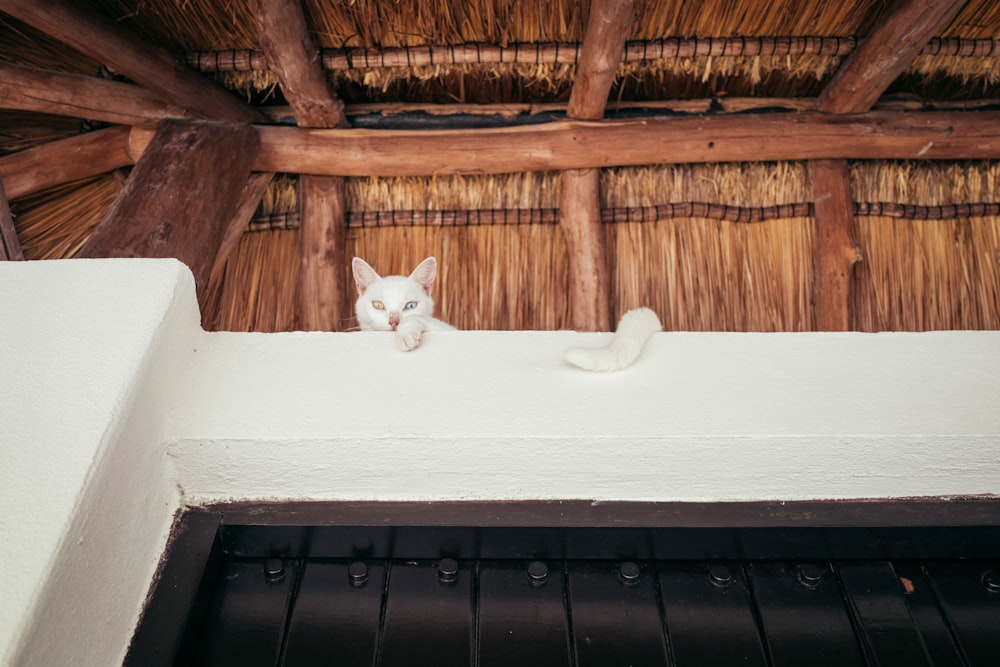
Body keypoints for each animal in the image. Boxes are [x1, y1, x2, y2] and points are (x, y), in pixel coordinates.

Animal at [354, 254, 664, 370]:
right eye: (378, 305)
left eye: (410, 305)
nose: (394, 321)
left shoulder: (442, 326)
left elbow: (421, 321)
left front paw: (406, 336)